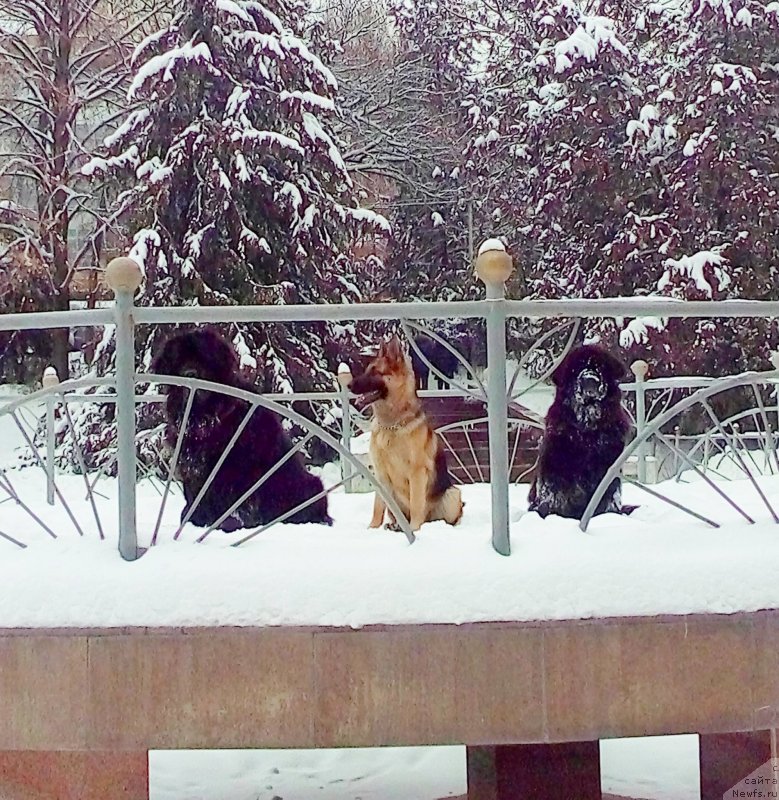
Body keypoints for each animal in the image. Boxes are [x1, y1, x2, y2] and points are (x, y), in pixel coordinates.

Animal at [152, 328, 332, 536]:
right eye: (179, 360)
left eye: (203, 358)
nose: (190, 374)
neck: (207, 422)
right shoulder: (192, 466)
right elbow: (194, 496)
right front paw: (194, 519)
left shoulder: (237, 467)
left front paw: (229, 523)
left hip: (309, 486)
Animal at [350, 336, 466, 532]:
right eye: (366, 370)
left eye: (376, 373)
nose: (348, 385)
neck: (391, 425)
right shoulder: (380, 475)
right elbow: (377, 506)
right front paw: (372, 528)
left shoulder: (417, 473)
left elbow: (417, 504)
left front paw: (414, 530)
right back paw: (395, 526)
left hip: (452, 494)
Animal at [532, 344, 632, 520]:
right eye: (576, 368)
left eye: (600, 366)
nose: (590, 380)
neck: (587, 432)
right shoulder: (554, 468)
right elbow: (553, 496)